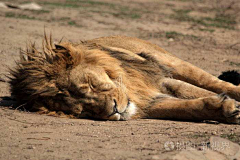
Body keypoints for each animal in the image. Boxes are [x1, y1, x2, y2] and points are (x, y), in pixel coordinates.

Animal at [9, 34, 240, 124]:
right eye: (83, 111)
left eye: (90, 85)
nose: (113, 110)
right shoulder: (150, 102)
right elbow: (189, 107)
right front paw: (225, 109)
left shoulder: (159, 80)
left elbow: (200, 91)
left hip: (171, 62)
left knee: (214, 82)